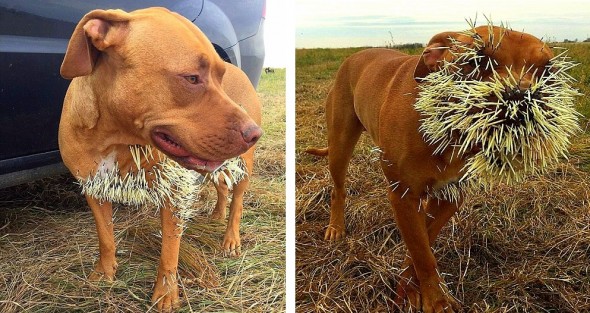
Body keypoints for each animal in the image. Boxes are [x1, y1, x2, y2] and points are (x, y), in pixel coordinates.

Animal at [59, 6, 262, 310]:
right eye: (192, 78)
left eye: (220, 77)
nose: (254, 133)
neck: (116, 135)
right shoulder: (94, 188)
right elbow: (105, 236)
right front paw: (105, 272)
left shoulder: (174, 191)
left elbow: (170, 249)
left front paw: (166, 294)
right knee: (222, 186)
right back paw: (217, 214)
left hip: (242, 165)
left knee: (237, 199)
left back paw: (230, 237)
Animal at [310, 25, 560, 310]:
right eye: (476, 60)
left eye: (548, 71)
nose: (520, 98)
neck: (449, 132)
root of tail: (355, 55)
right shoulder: (404, 196)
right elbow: (422, 252)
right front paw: (436, 300)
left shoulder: (450, 197)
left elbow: (423, 243)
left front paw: (410, 289)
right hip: (340, 144)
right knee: (337, 189)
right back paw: (336, 227)